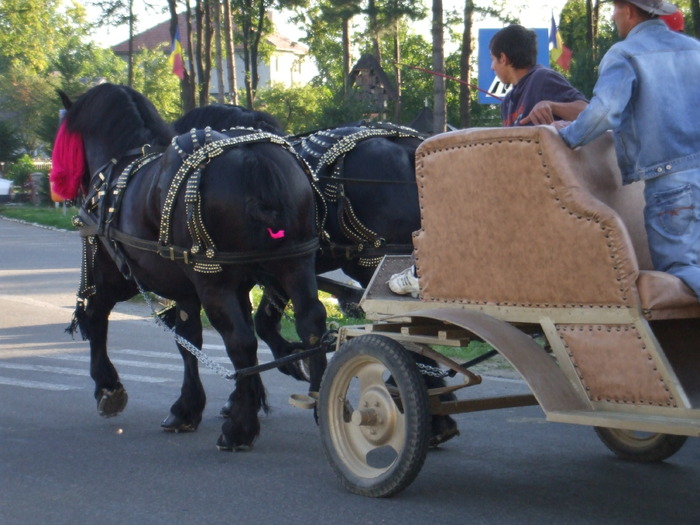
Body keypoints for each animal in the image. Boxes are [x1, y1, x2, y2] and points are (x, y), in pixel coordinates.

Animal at [56, 84, 326, 448]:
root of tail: (254, 159)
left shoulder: (113, 275)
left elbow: (98, 318)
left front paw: (108, 386)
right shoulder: (196, 289)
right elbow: (189, 340)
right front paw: (194, 406)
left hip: (212, 281)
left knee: (240, 340)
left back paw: (239, 429)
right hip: (295, 265)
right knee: (310, 324)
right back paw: (319, 402)